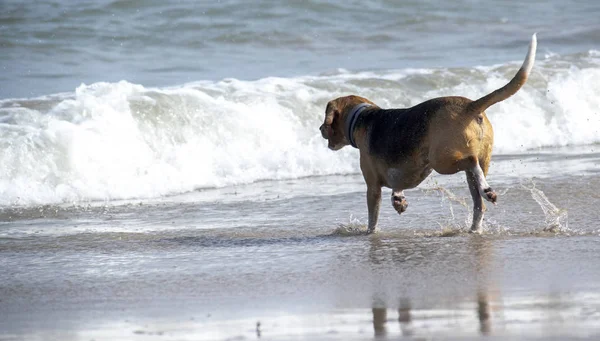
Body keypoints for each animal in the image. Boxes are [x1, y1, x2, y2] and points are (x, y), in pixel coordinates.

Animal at [322, 33, 536, 232]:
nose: (320, 129)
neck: (361, 117)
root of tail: (470, 106)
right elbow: (397, 186)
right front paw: (398, 200)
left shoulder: (372, 186)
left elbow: (372, 218)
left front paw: (370, 232)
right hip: (477, 163)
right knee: (479, 202)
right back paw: (477, 221)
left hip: (442, 161)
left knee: (471, 162)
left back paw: (486, 189)